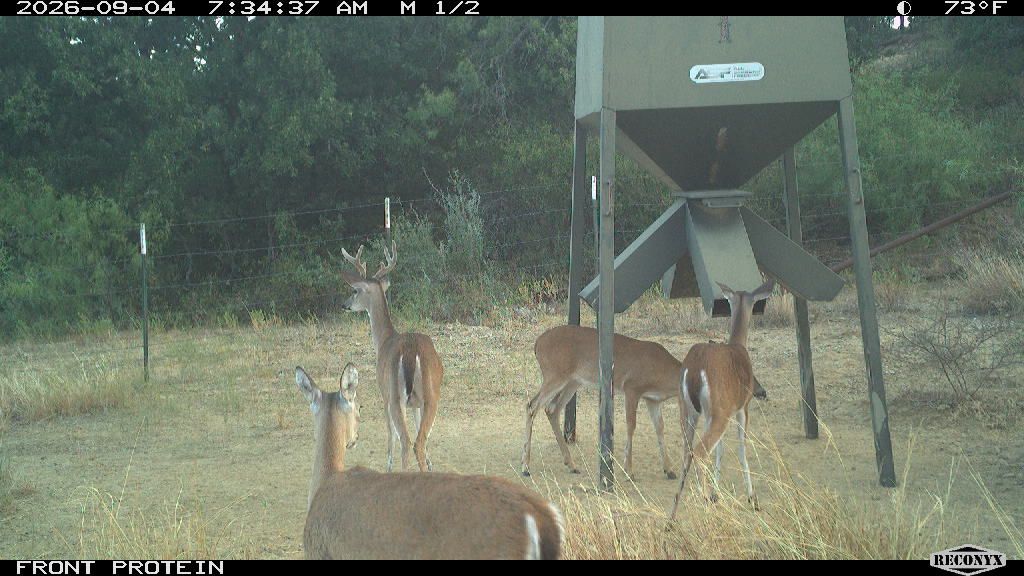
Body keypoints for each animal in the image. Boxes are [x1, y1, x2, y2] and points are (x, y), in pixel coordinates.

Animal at [340, 242, 442, 473]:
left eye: (354, 290)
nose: (344, 304)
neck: (384, 341)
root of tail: (412, 351)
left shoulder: (383, 393)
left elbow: (390, 433)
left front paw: (388, 465)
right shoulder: (416, 404)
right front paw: (431, 464)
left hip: (395, 395)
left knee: (406, 440)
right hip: (431, 394)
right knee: (420, 440)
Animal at [669, 279, 774, 520]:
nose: (762, 392)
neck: (738, 346)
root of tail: (694, 369)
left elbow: (721, 449)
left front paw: (717, 493)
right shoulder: (742, 406)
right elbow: (742, 449)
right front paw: (752, 498)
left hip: (688, 410)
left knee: (687, 453)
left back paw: (673, 517)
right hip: (718, 410)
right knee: (699, 452)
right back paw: (706, 503)